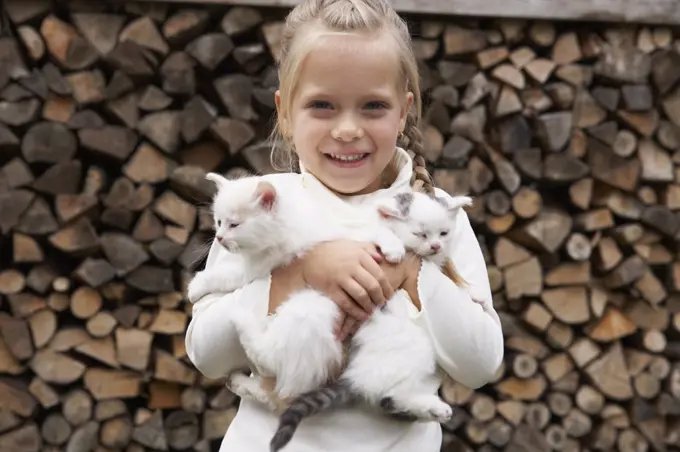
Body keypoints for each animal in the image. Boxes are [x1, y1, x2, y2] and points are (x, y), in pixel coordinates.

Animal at [186, 172, 406, 406]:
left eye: (234, 225)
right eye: (219, 222)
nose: (219, 237)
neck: (286, 227)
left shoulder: (254, 268)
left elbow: (222, 274)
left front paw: (195, 286)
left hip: (308, 310)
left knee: (270, 363)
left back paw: (242, 322)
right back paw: (240, 381)